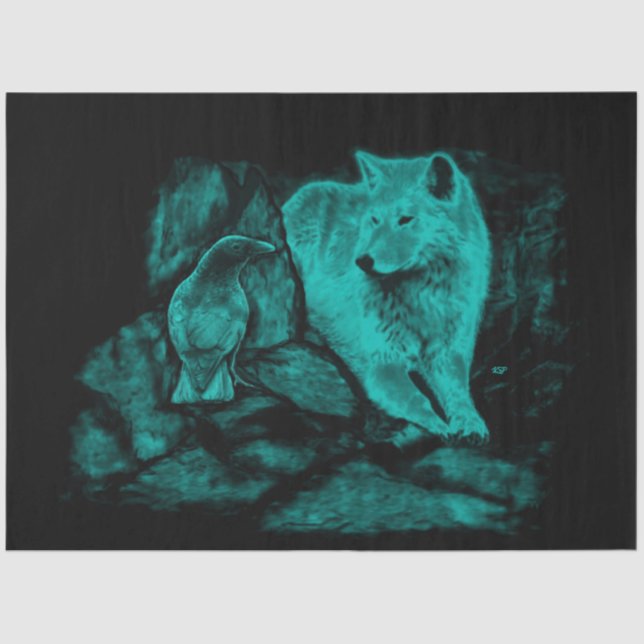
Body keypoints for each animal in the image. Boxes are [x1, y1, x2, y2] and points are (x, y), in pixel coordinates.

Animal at [282, 151, 491, 444]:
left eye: (405, 219)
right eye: (374, 220)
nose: (362, 261)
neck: (420, 297)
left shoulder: (447, 355)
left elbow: (459, 394)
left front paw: (470, 422)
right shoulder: (382, 364)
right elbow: (418, 398)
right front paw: (439, 426)